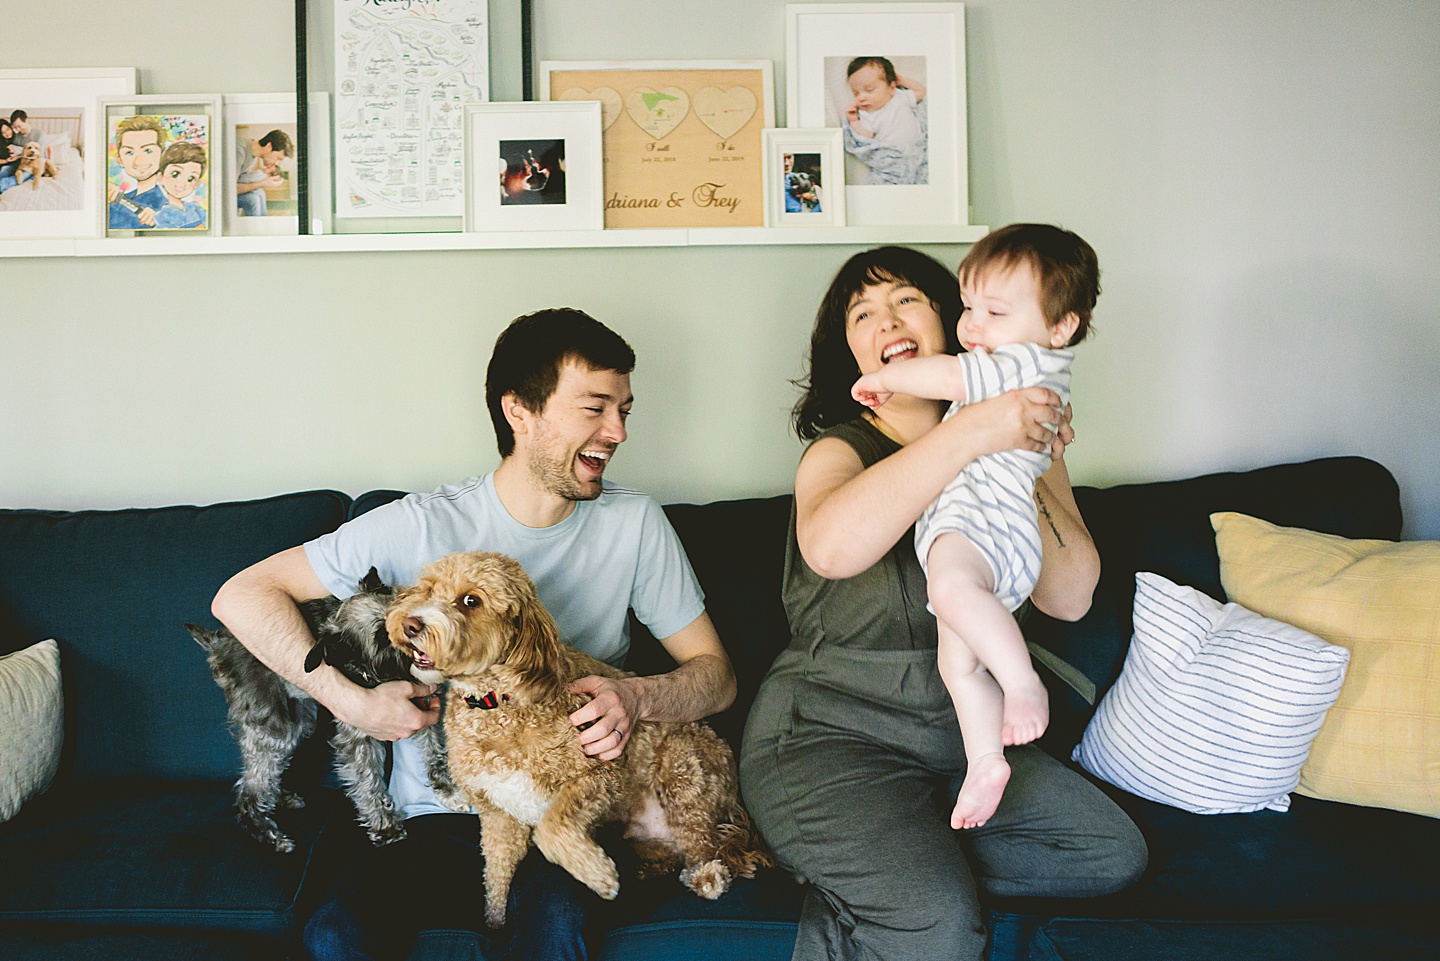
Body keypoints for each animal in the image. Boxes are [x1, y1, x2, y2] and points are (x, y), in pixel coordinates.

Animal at [188, 567, 460, 852]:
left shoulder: (427, 705)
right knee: (251, 786)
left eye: (401, 607)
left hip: (298, 721)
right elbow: (367, 780)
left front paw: (447, 790)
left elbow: (436, 749)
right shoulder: (360, 731)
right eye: (382, 638)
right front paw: (386, 828)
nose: (420, 629)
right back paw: (267, 832)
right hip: (276, 727)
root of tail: (218, 644)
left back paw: (282, 798)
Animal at [380, 553, 766, 927]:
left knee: (704, 843)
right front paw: (494, 921)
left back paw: (706, 875)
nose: (410, 624)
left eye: (470, 601)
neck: (496, 701)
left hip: (682, 766)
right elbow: (497, 872)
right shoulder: (499, 814)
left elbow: (550, 829)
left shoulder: (598, 774)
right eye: (428, 589)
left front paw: (598, 875)